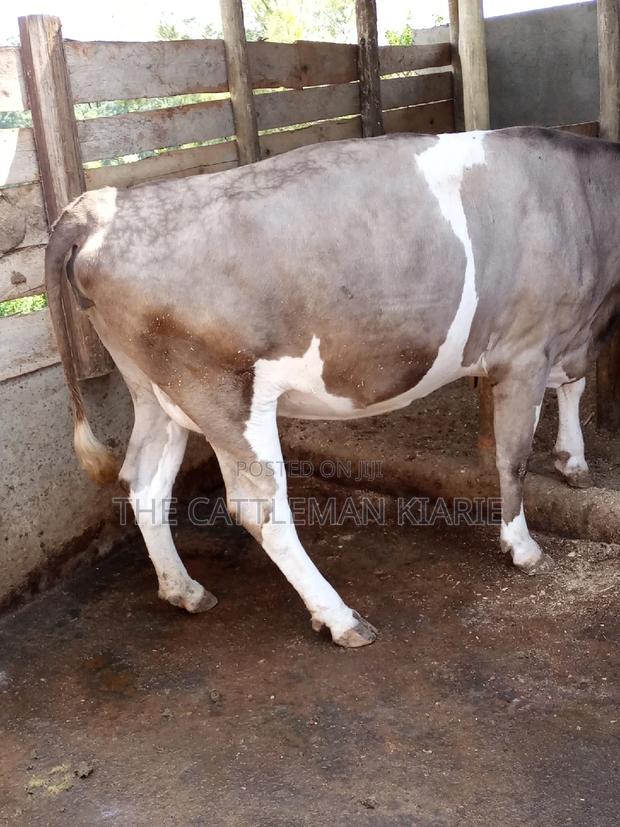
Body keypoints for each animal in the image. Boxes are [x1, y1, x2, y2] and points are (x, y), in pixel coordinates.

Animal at [45, 127, 617, 648]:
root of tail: (99, 207)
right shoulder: (524, 352)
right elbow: (513, 458)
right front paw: (522, 547)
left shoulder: (568, 337)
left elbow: (575, 383)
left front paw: (574, 461)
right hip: (223, 395)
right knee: (259, 508)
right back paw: (340, 617)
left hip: (156, 392)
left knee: (145, 482)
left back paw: (184, 590)